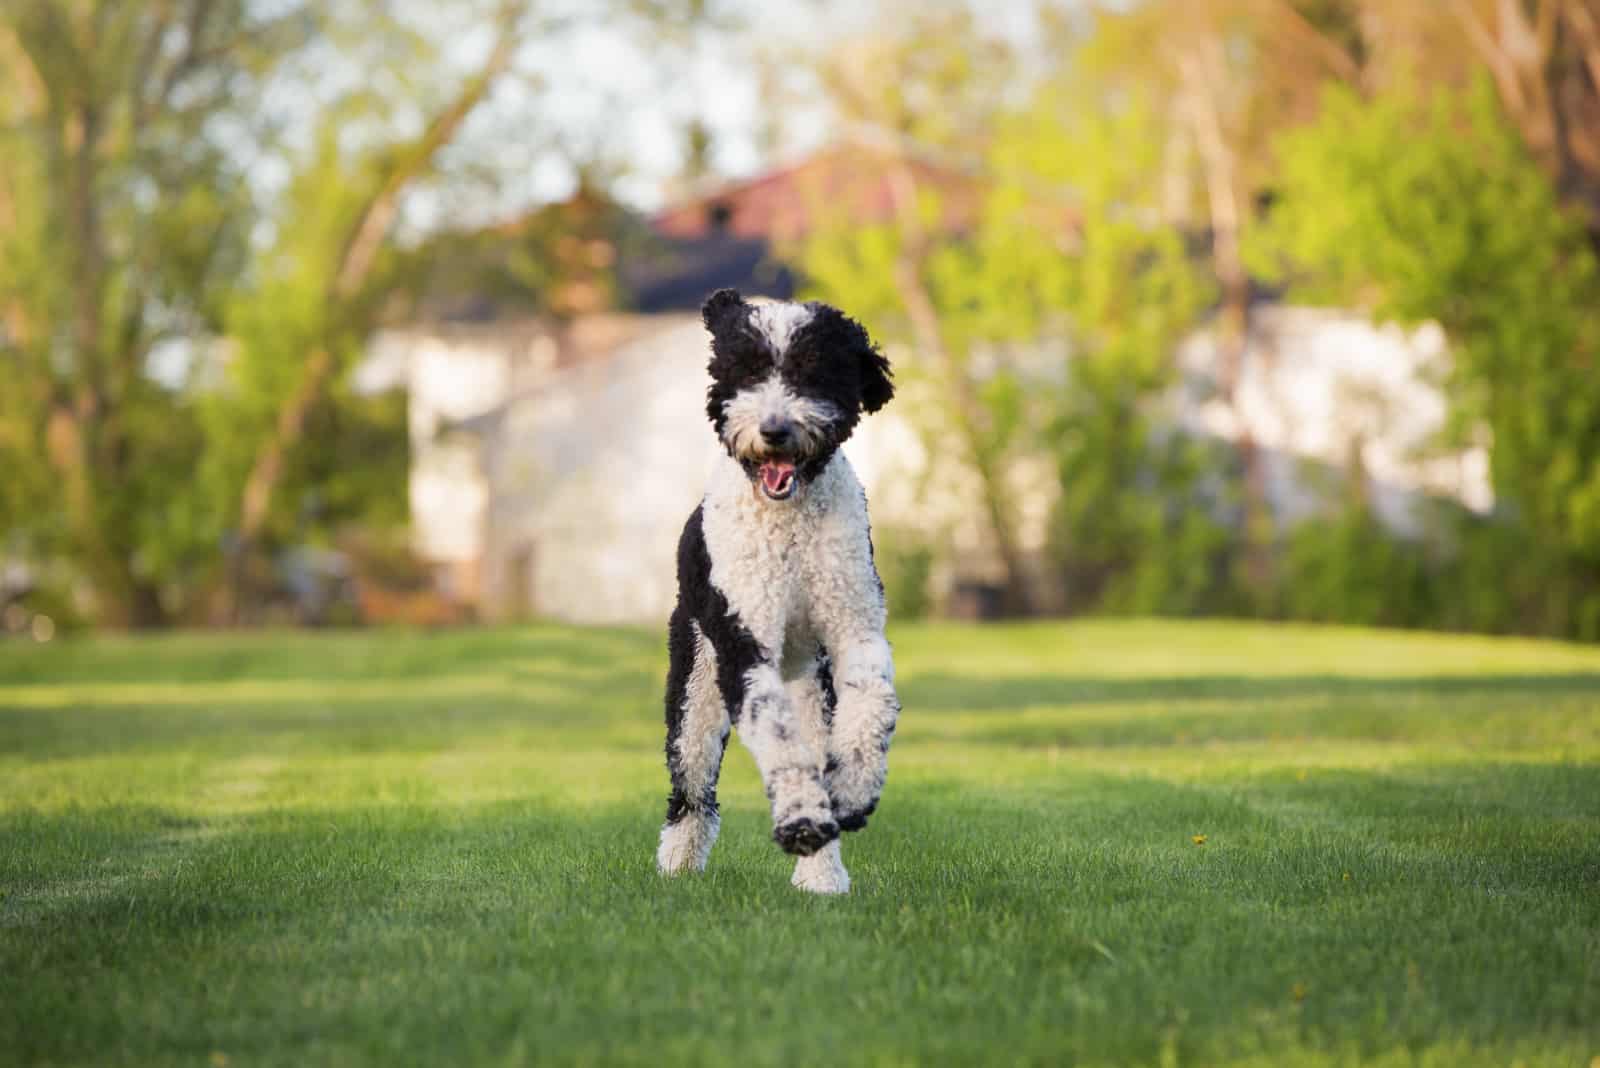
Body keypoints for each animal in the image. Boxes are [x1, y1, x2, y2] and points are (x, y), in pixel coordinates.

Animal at [652, 289, 902, 895]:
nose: (774, 429)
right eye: (746, 370)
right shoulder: (744, 645)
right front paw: (802, 821)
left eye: (814, 372)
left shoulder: (854, 626)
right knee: (692, 790)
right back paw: (678, 867)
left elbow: (873, 699)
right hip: (695, 688)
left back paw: (822, 876)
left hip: (810, 684)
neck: (789, 525)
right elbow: (775, 736)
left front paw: (853, 791)